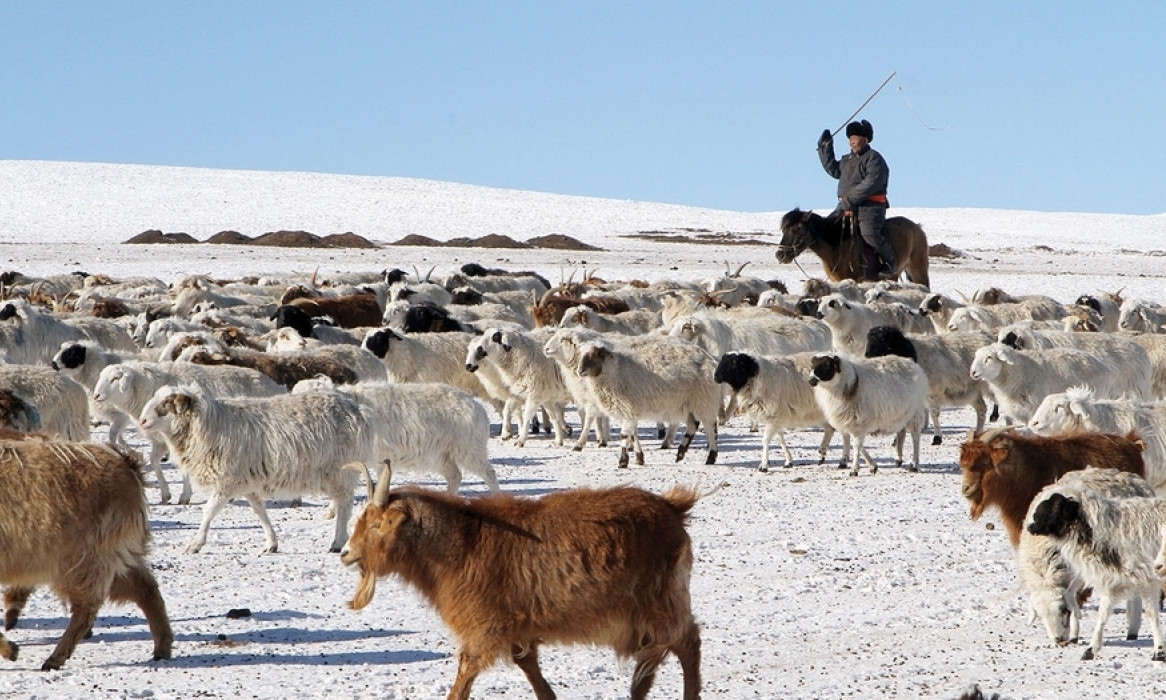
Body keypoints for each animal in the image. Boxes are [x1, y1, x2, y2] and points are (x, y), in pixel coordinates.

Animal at [0, 434, 172, 672]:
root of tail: (126, 463)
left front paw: (11, 650)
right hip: (112, 557)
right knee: (145, 588)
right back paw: (162, 648)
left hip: (84, 559)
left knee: (87, 608)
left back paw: (54, 657)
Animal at [137, 382, 375, 553]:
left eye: (166, 404)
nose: (142, 421)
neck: (210, 424)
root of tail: (356, 409)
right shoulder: (247, 480)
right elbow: (259, 510)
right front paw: (271, 542)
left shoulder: (227, 480)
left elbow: (209, 511)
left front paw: (195, 544)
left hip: (339, 470)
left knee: (345, 504)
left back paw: (338, 541)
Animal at [340, 478, 699, 700]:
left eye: (377, 524)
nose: (345, 552)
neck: (463, 543)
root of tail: (673, 508)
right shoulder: (517, 625)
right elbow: (527, 664)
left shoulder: (485, 624)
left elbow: (467, 668)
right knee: (652, 660)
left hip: (661, 602)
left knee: (688, 642)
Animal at [774, 206, 928, 288]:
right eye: (784, 230)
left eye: (796, 230)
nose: (780, 255)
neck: (837, 246)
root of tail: (917, 228)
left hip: (918, 271)